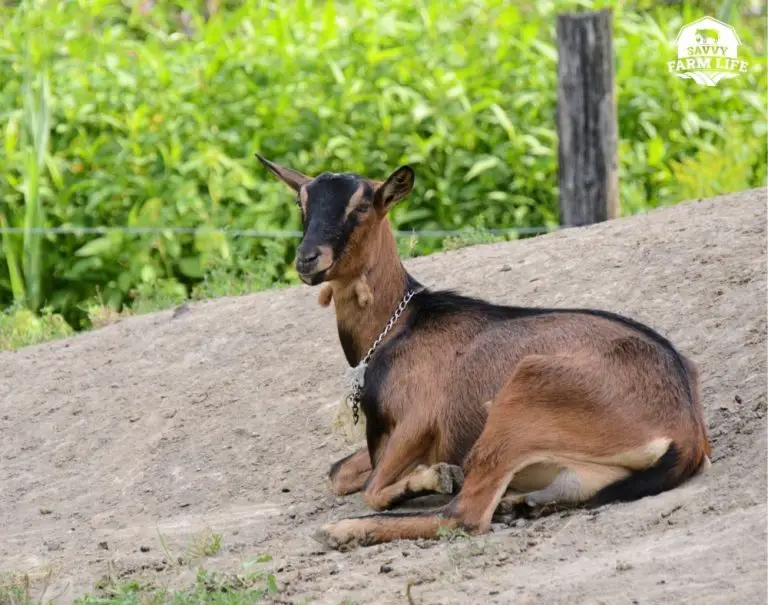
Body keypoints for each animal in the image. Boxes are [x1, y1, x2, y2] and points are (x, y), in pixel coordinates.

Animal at [256, 154, 712, 551]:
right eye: (302, 202)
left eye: (364, 205)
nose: (308, 259)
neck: (399, 327)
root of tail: (686, 427)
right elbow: (337, 473)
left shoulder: (419, 420)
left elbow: (372, 488)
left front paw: (435, 476)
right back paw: (521, 504)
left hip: (520, 400)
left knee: (466, 515)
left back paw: (343, 530)